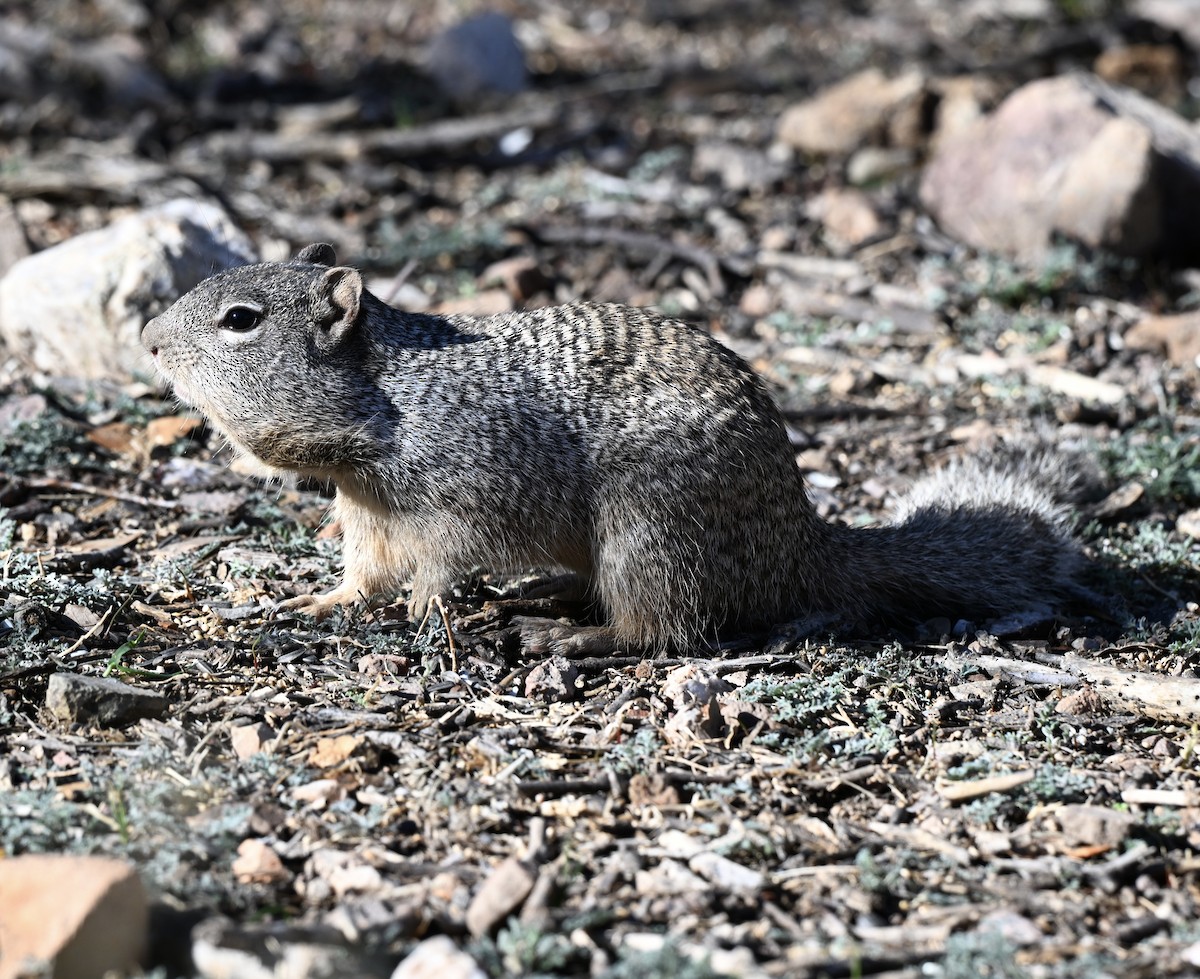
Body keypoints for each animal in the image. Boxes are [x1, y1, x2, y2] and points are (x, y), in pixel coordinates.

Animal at [141, 243, 1093, 653]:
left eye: (240, 320)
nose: (148, 341)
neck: (387, 402)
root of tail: (800, 551)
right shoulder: (367, 512)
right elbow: (362, 572)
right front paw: (320, 601)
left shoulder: (469, 491)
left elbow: (446, 557)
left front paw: (428, 604)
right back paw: (549, 595)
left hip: (651, 533)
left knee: (662, 632)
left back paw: (568, 635)